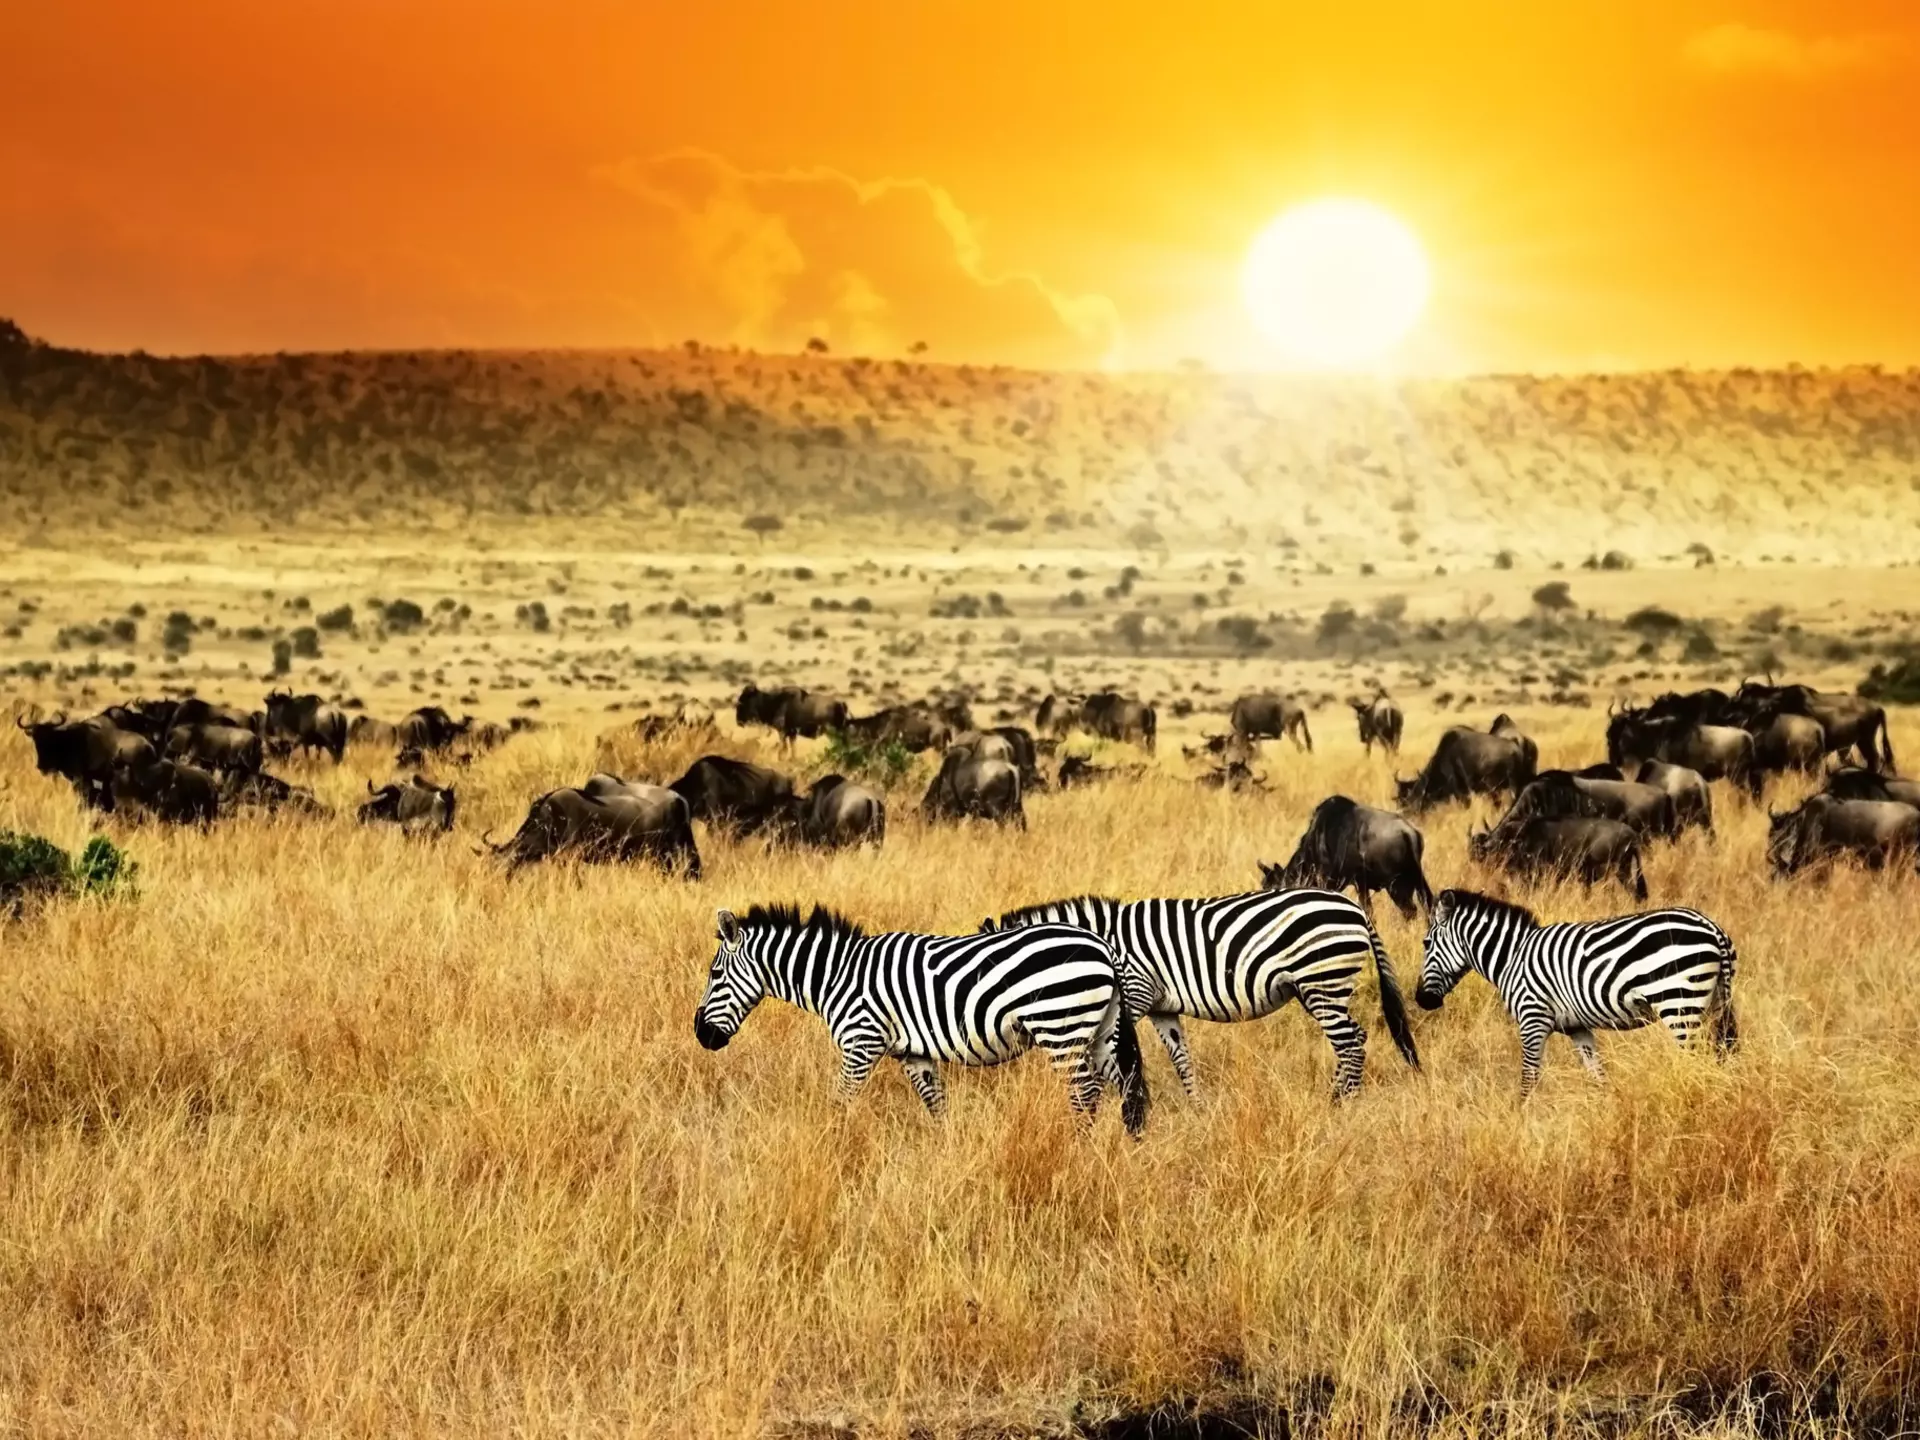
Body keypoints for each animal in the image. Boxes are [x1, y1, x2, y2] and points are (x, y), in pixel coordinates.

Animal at [693, 904, 1149, 1135]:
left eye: (714, 975)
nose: (701, 1035)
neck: (837, 975)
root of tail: (1100, 945)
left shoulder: (862, 1042)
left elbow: (839, 1103)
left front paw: (830, 1146)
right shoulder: (912, 1054)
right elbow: (937, 1107)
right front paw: (946, 1155)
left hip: (1060, 1025)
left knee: (1085, 1092)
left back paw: (1078, 1149)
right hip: (1100, 1029)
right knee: (1126, 1086)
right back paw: (1130, 1145)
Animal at [982, 889, 1419, 1100]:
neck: (1103, 943)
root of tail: (1354, 908)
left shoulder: (1133, 993)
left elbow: (1111, 1055)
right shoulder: (1160, 1006)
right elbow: (1181, 1058)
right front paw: (1196, 1107)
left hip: (1322, 981)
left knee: (1350, 1043)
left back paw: (1342, 1102)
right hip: (1319, 987)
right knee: (1353, 1038)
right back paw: (1338, 1094)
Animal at [1414, 888, 1738, 1097]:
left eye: (1426, 943)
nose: (1421, 1000)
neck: (1512, 957)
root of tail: (1712, 927)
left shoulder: (1532, 1019)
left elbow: (1528, 1078)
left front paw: (1523, 1121)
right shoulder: (1577, 1028)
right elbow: (1597, 1076)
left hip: (1678, 1002)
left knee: (1694, 1062)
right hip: (1714, 1003)